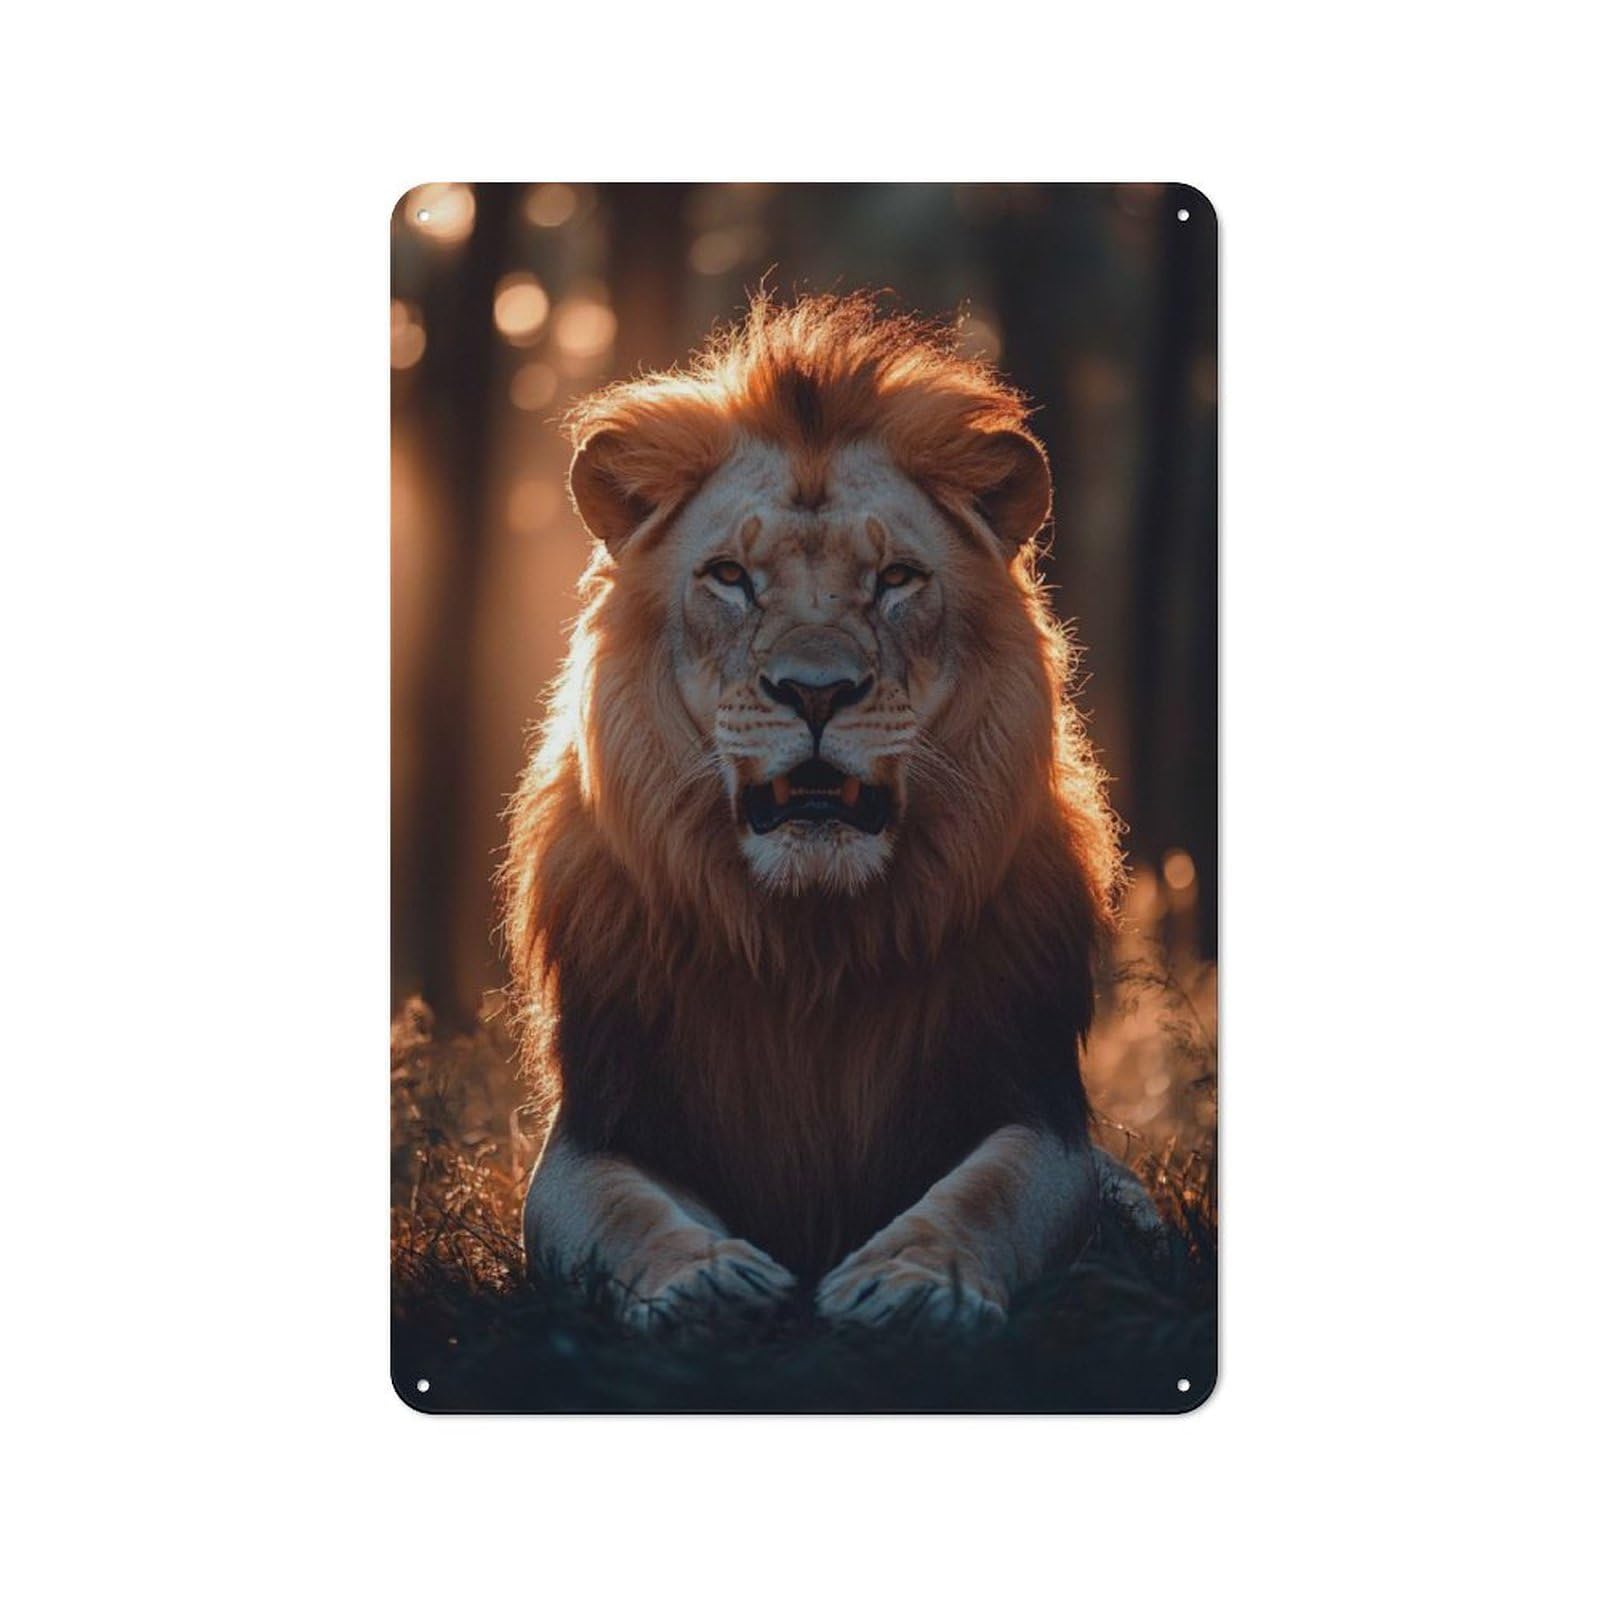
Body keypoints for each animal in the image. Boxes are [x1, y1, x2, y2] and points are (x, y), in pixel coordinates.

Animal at [504, 293, 1146, 1331]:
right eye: (729, 576)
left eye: (896, 579)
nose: (815, 691)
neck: (811, 944)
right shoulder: (599, 1125)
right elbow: (621, 1212)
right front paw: (705, 1280)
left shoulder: (1034, 1102)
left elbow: (992, 1193)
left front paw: (914, 1282)